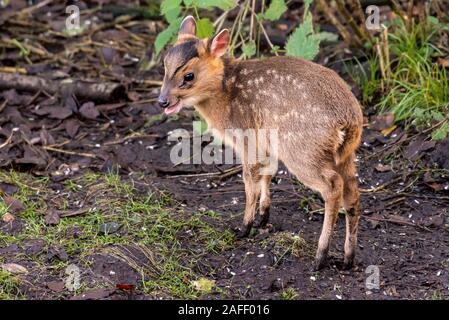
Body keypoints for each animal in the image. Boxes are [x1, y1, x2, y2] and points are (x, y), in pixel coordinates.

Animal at [159, 15, 362, 270]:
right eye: (164, 66)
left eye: (188, 76)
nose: (162, 101)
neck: (225, 93)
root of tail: (348, 120)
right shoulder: (266, 141)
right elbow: (268, 172)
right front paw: (263, 219)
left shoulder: (246, 138)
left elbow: (249, 180)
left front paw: (244, 227)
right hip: (345, 154)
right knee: (352, 191)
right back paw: (347, 258)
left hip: (302, 151)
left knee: (333, 186)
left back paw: (320, 256)